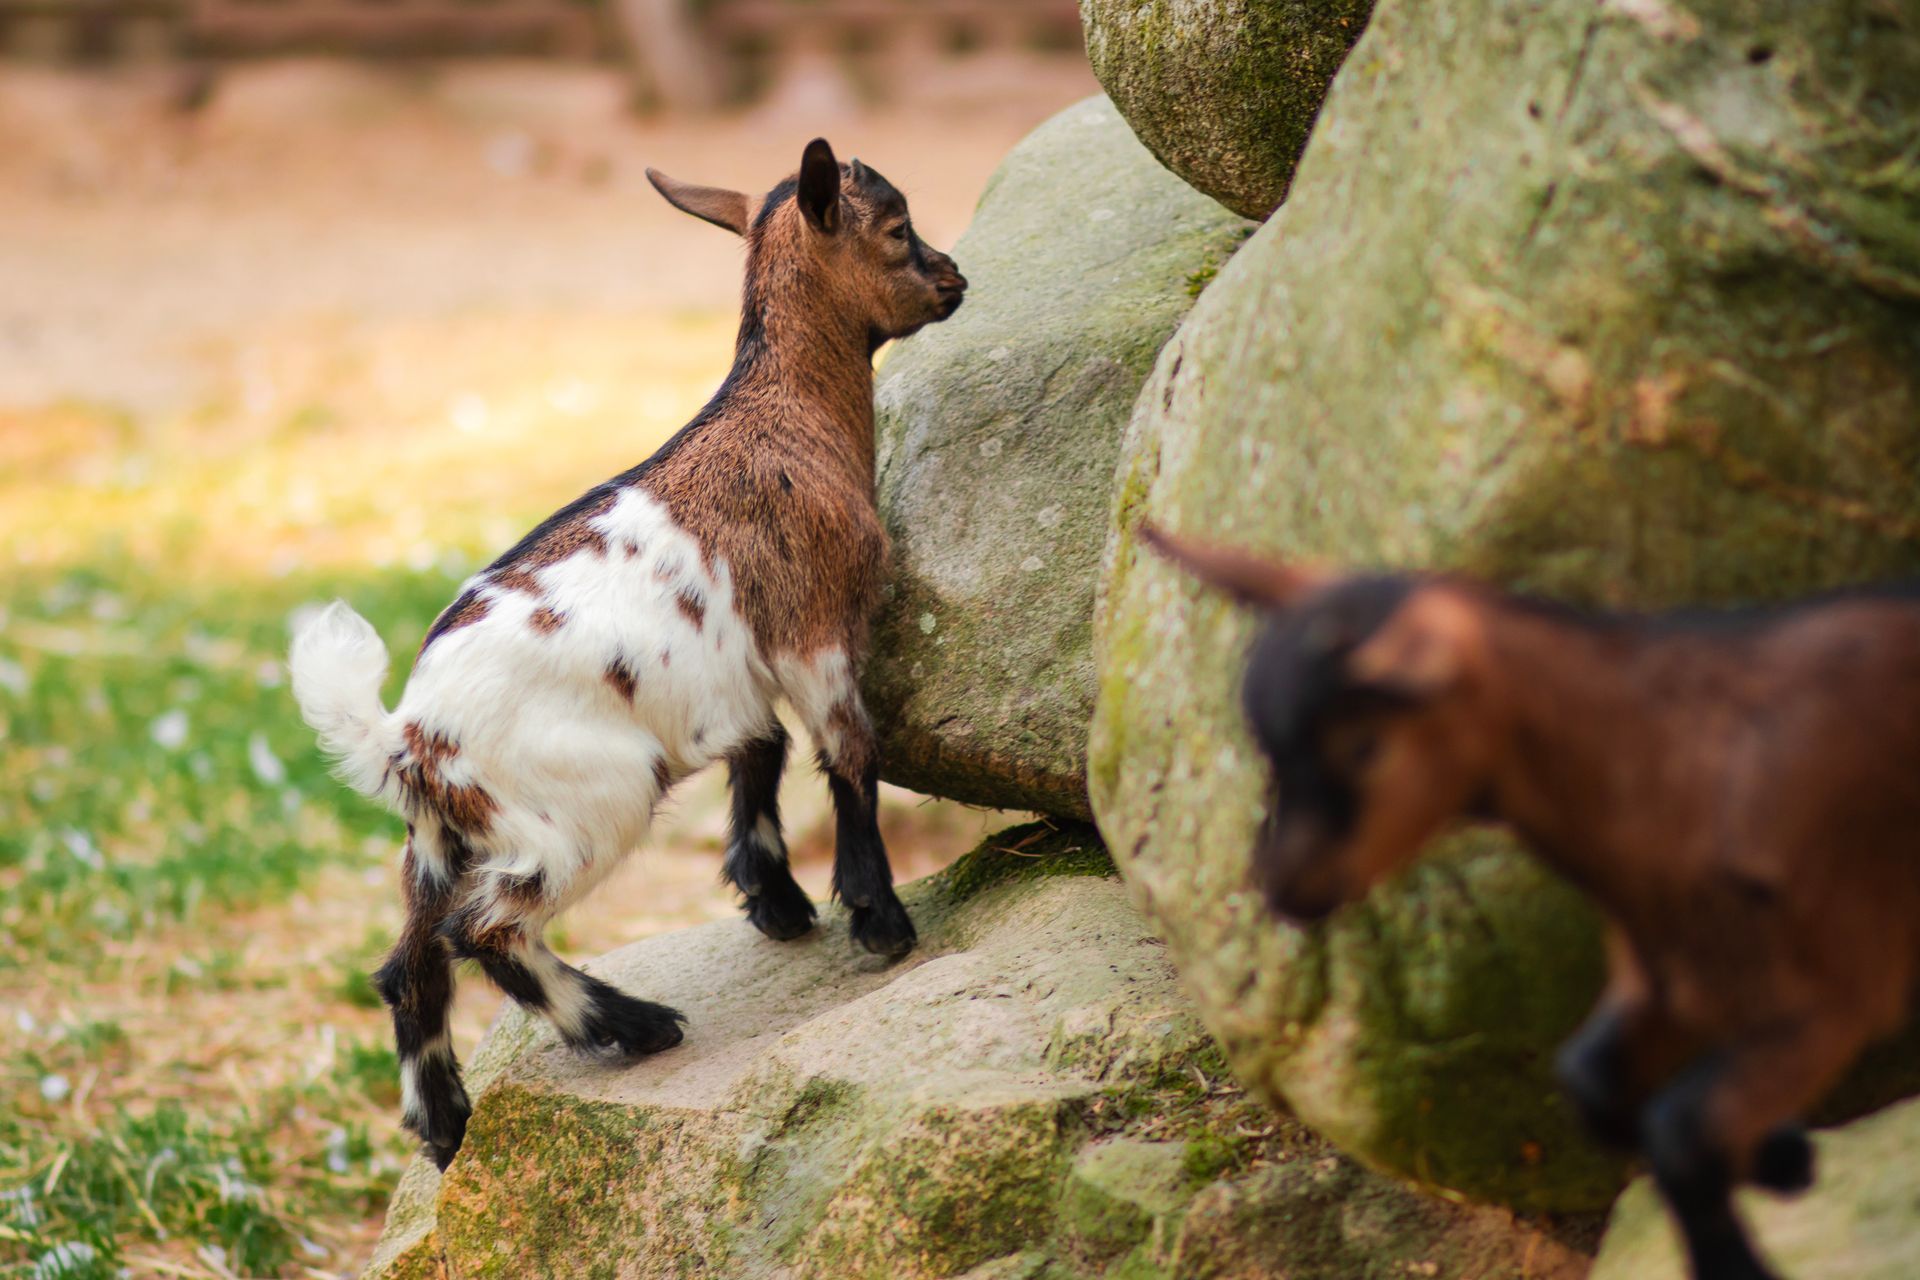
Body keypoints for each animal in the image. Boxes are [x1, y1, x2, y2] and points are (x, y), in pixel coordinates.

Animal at [290, 139, 966, 1170]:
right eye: (897, 228)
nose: (955, 279)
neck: (786, 413)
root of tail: (405, 736)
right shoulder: (814, 628)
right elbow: (847, 752)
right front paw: (877, 920)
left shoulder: (733, 673)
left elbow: (761, 750)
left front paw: (776, 900)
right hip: (583, 807)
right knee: (485, 932)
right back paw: (634, 1026)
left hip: (436, 840)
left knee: (410, 964)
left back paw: (446, 1129)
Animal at [1141, 523, 1920, 1280]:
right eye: (1270, 747)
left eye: (1364, 745)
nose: (1285, 886)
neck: (1685, 763)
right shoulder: (1672, 987)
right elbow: (1594, 1082)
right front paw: (1783, 1156)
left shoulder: (1829, 999)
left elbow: (1681, 1133)